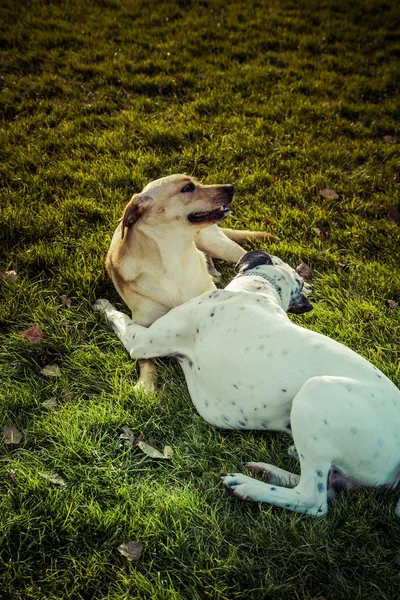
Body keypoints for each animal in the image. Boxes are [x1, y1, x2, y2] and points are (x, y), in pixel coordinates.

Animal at [95, 251, 400, 516]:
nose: (308, 302)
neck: (258, 290)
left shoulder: (142, 341)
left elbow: (120, 318)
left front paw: (103, 305)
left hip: (315, 392)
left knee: (314, 500)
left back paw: (248, 486)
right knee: (329, 486)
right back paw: (269, 470)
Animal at [106, 173, 276, 392]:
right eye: (187, 188)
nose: (231, 187)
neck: (174, 258)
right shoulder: (142, 323)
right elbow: (146, 359)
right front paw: (146, 383)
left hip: (218, 244)